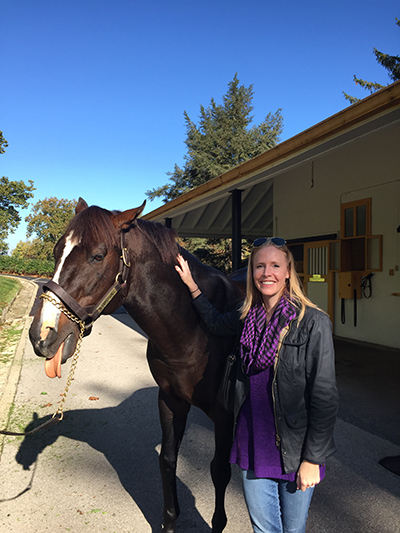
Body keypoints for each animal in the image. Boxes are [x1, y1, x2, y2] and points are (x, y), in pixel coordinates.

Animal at [28, 197, 244, 528]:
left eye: (98, 256)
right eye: (56, 252)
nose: (41, 334)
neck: (196, 327)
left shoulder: (224, 414)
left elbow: (220, 471)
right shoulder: (170, 400)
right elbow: (167, 460)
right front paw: (170, 521)